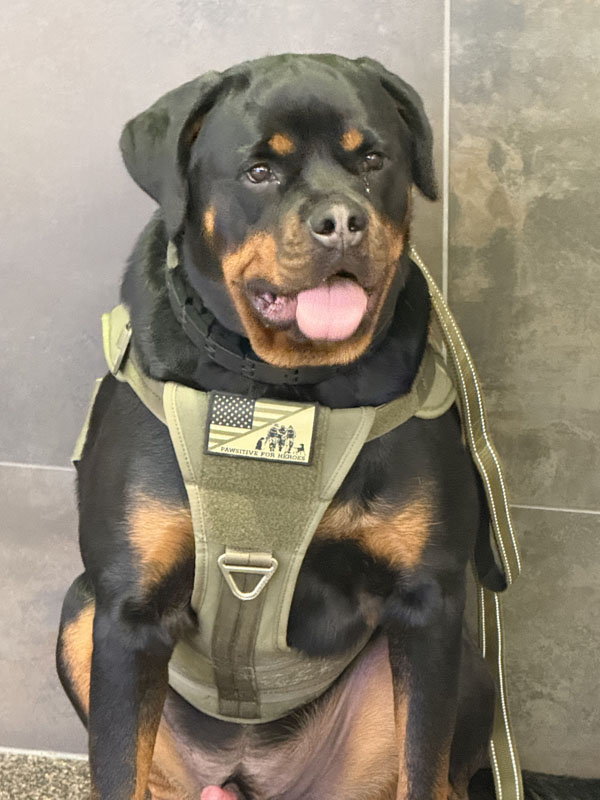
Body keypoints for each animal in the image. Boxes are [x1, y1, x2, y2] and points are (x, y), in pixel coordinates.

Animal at [55, 53, 593, 800]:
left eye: (372, 158)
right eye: (259, 170)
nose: (341, 220)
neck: (285, 389)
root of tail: (252, 775)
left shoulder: (427, 602)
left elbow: (421, 761)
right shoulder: (126, 612)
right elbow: (118, 766)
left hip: (465, 661)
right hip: (80, 613)